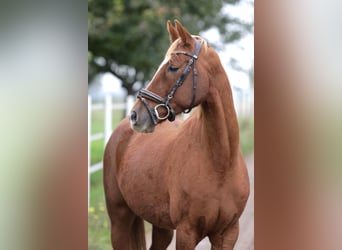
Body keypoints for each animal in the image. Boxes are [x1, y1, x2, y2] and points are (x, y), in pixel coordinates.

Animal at [103, 20, 250, 249]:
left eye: (173, 67)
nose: (135, 115)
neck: (221, 164)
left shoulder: (228, 234)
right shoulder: (186, 233)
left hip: (161, 226)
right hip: (119, 221)